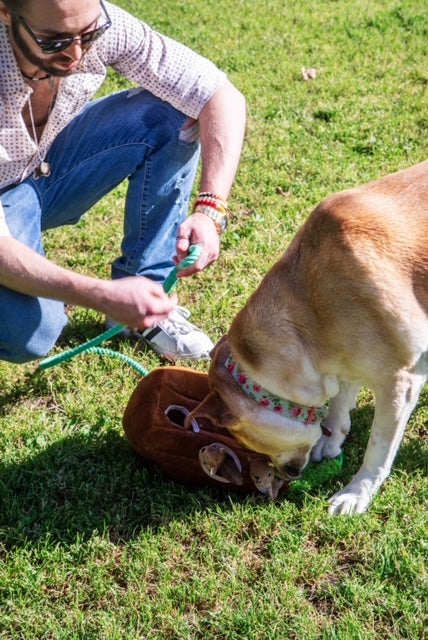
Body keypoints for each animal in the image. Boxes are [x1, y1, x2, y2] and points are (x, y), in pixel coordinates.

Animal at [185, 160, 428, 516]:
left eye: (251, 441)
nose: (288, 473)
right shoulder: (341, 363)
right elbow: (340, 401)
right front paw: (332, 438)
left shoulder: (400, 381)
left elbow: (378, 449)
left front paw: (357, 492)